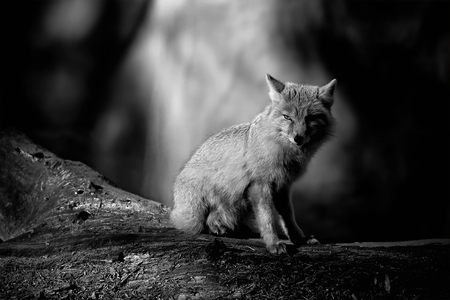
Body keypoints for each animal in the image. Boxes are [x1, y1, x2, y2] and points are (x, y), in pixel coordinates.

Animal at [171, 74, 336, 253]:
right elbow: (267, 219)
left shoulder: (282, 187)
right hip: (205, 205)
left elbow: (289, 218)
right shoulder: (259, 186)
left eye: (309, 118)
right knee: (201, 223)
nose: (297, 138)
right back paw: (217, 228)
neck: (285, 152)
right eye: (287, 117)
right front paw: (273, 243)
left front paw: (300, 239)